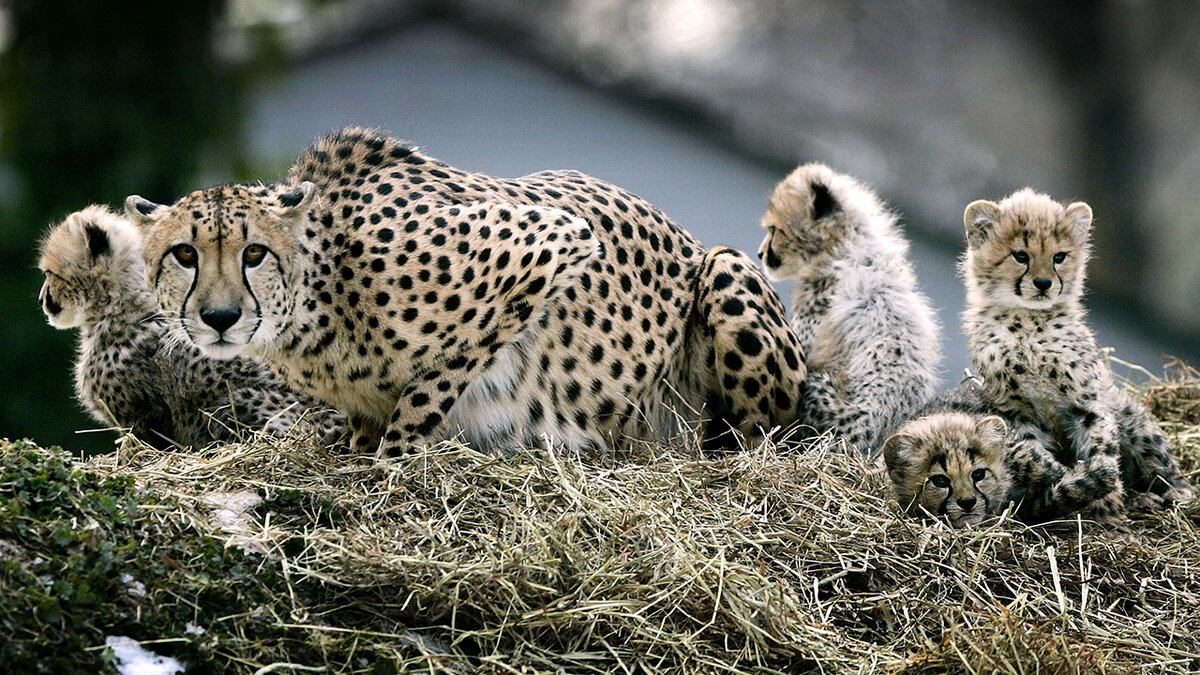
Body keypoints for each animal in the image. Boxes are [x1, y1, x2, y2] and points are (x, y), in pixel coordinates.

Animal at [126, 127, 806, 451]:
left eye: (254, 253)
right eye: (184, 254)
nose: (219, 317)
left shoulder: (551, 241)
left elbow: (427, 393)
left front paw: (393, 467)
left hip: (726, 272)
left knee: (760, 440)